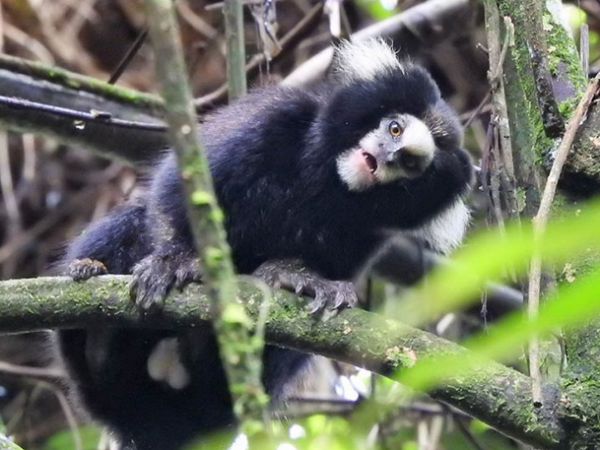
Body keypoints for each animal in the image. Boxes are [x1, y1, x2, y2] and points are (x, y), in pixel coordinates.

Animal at [55, 38, 474, 450]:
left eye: (410, 164)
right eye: (395, 129)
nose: (387, 157)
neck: (325, 179)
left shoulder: (370, 231)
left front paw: (296, 276)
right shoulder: (273, 118)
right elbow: (178, 190)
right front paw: (173, 261)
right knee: (132, 221)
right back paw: (94, 309)